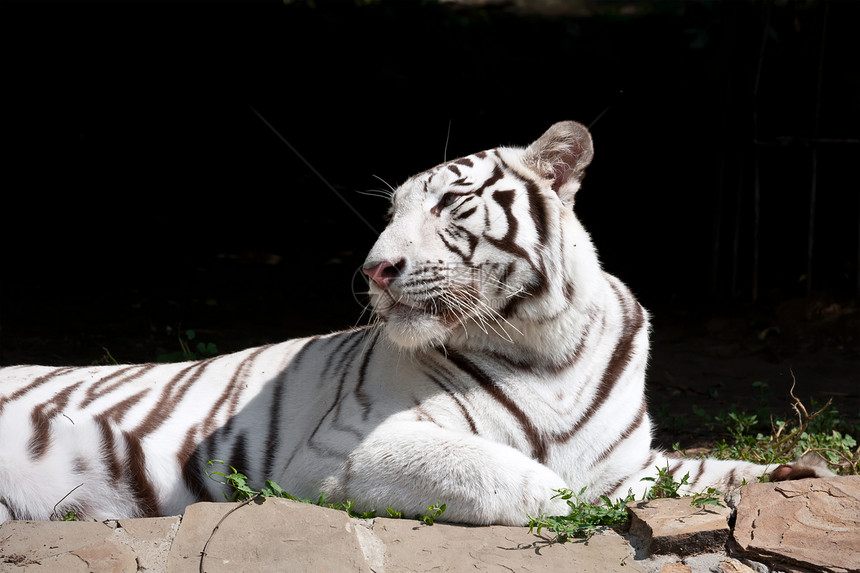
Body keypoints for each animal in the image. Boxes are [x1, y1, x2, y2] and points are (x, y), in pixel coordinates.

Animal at [0, 123, 832, 524]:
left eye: (450, 205)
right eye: (392, 211)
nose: (373, 269)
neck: (549, 344)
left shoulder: (631, 455)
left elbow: (702, 467)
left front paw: (799, 474)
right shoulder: (342, 449)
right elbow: (511, 475)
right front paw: (577, 503)